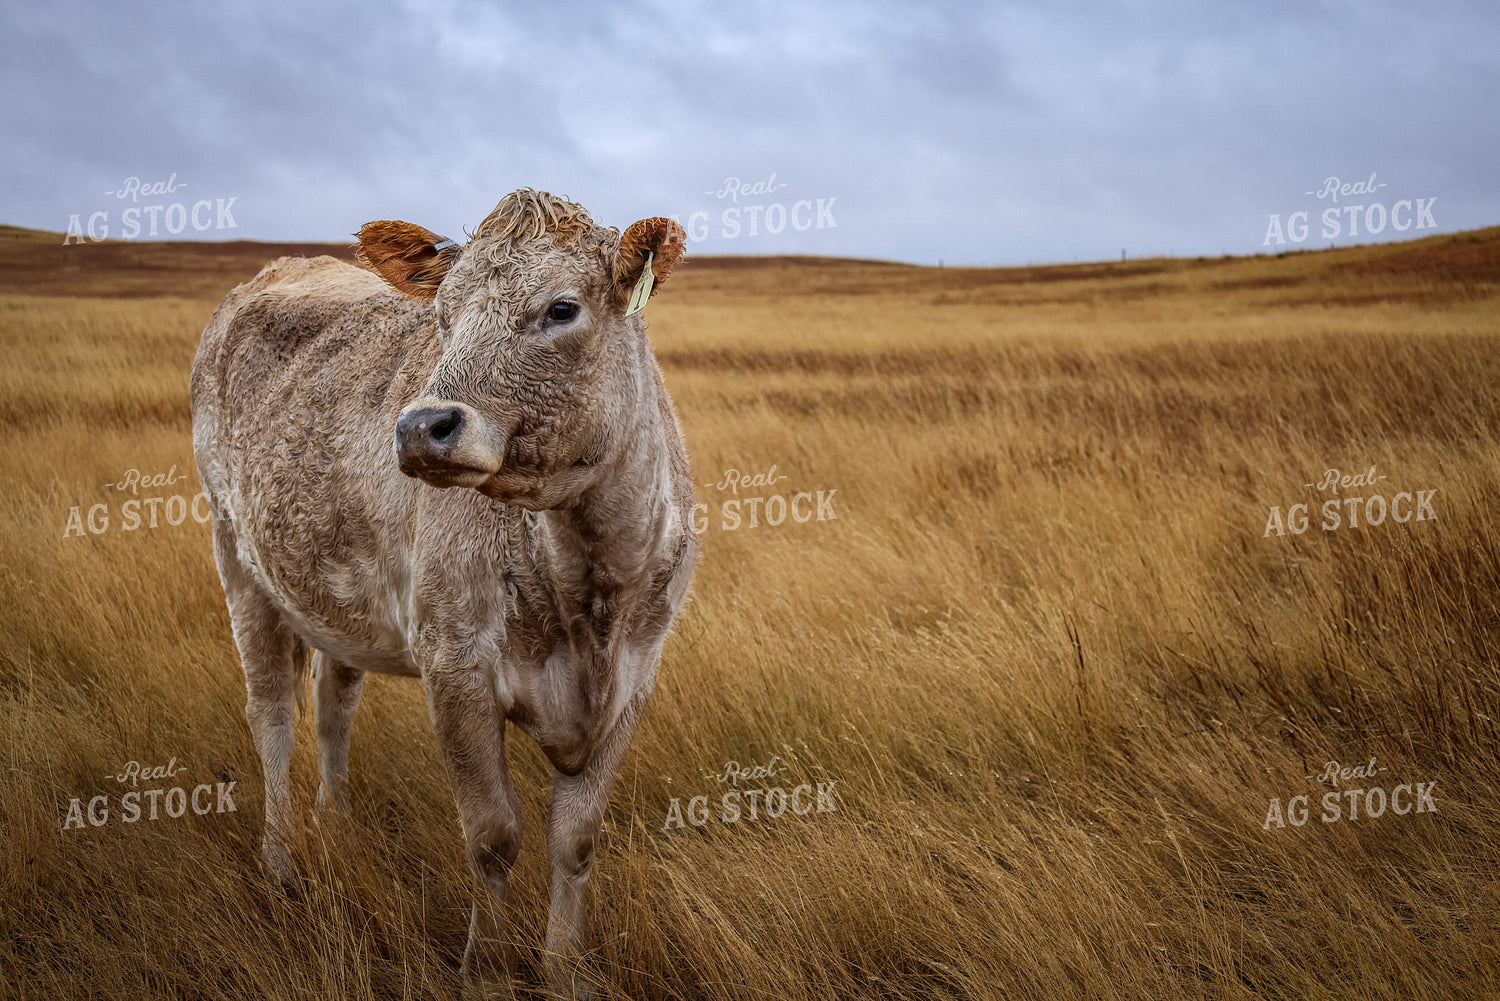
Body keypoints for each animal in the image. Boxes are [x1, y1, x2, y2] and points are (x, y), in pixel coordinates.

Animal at [189, 189, 697, 997]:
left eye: (561, 309)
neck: (588, 585)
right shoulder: (455, 664)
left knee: (333, 704)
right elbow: (492, 834)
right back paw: (281, 861)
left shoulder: (635, 679)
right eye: (443, 317)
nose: (423, 426)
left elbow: (576, 839)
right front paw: (484, 968)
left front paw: (565, 969)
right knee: (271, 714)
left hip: (338, 596)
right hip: (237, 557)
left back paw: (340, 825)